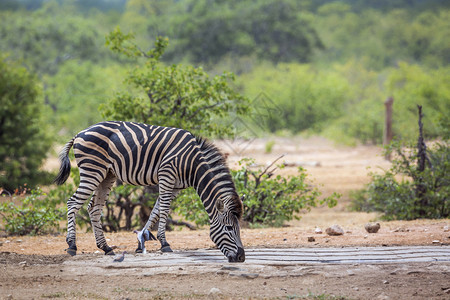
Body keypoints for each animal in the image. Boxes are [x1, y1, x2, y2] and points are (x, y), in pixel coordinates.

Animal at [55, 121, 246, 262]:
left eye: (239, 228)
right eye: (229, 228)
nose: (241, 257)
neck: (192, 164)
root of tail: (80, 132)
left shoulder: (175, 186)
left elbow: (155, 211)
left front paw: (141, 242)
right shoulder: (166, 175)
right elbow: (164, 210)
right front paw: (164, 243)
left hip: (107, 174)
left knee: (93, 208)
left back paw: (106, 247)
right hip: (93, 170)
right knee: (72, 203)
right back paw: (72, 245)